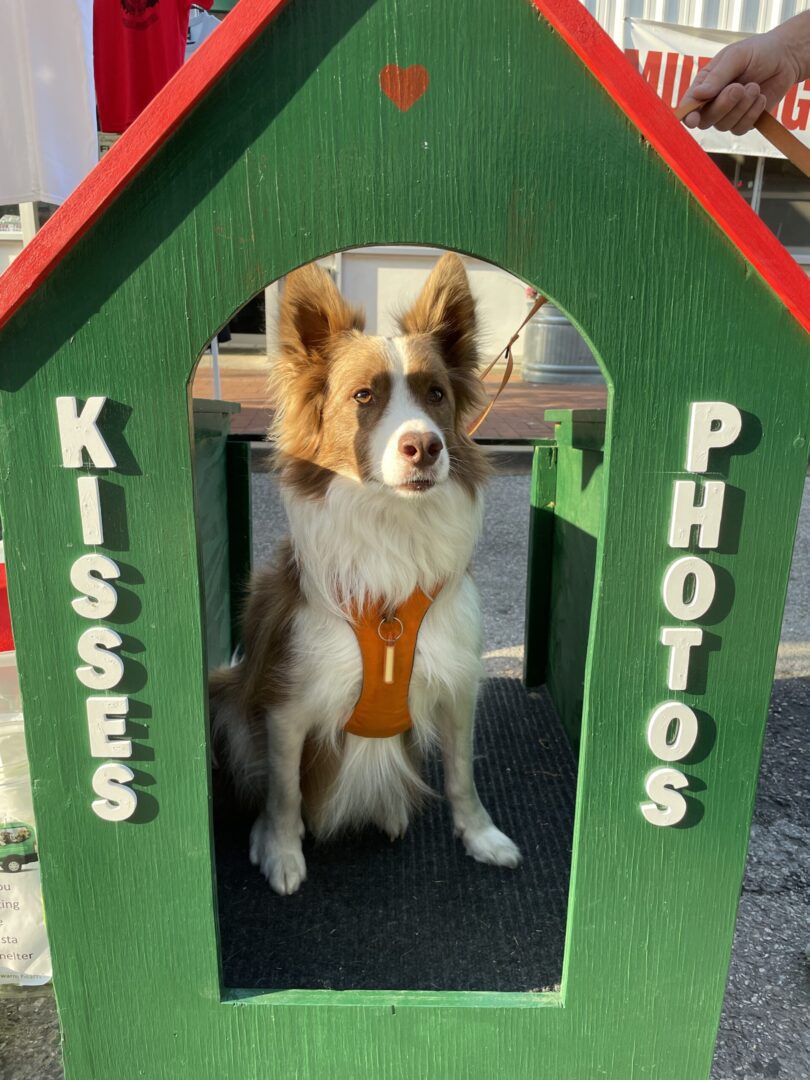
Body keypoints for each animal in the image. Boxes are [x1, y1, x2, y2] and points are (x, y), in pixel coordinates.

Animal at [209, 250, 522, 894]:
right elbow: (283, 794)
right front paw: (281, 851)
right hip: (227, 693)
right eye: (361, 396)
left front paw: (481, 837)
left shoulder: (458, 685)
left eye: (435, 394)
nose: (424, 446)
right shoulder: (288, 704)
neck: (392, 527)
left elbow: (462, 775)